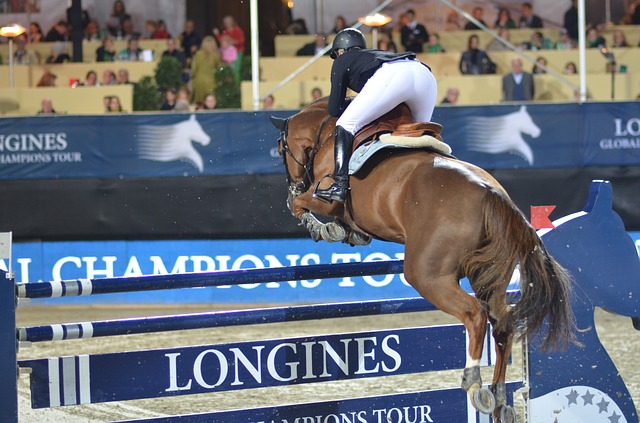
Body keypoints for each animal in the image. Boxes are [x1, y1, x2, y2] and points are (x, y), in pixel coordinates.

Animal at [270, 100, 576, 422]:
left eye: (280, 148)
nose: (293, 183)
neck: (326, 134)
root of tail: (490, 192)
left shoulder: (324, 198)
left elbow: (300, 204)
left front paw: (321, 227)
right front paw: (346, 232)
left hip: (426, 275)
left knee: (475, 314)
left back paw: (474, 382)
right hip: (489, 275)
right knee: (502, 322)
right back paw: (500, 398)